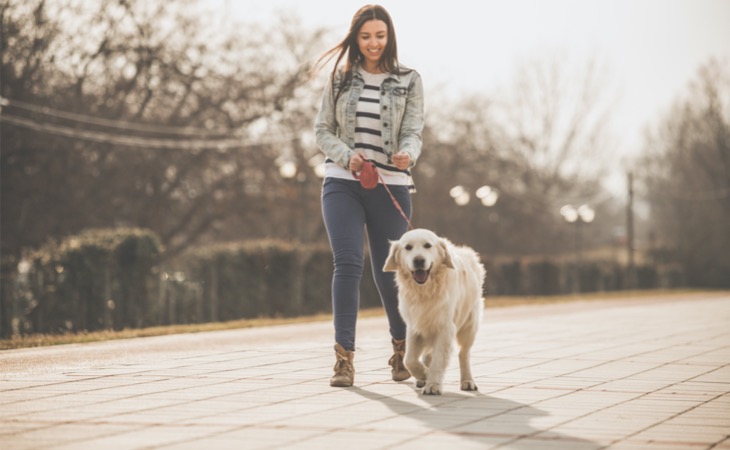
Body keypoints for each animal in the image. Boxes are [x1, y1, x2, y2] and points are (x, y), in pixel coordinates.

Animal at [382, 229, 484, 394]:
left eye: (428, 245)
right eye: (408, 247)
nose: (418, 260)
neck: (425, 290)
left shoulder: (445, 327)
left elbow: (438, 359)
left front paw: (432, 384)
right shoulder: (414, 327)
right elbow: (409, 359)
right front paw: (424, 374)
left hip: (469, 325)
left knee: (463, 353)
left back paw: (467, 381)